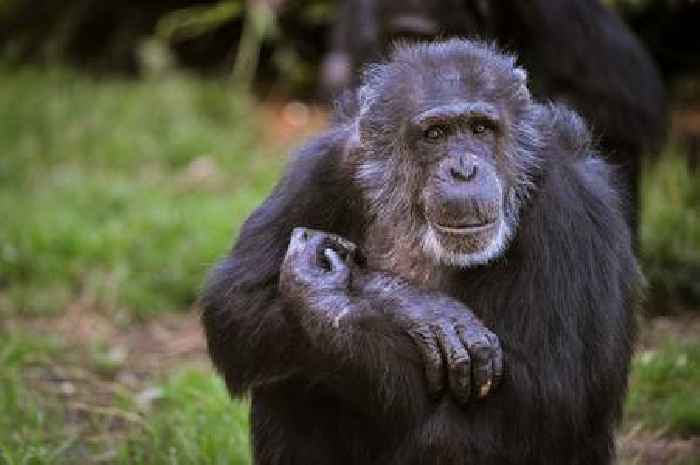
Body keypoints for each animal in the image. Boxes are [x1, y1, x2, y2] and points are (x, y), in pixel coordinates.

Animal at [201, 40, 640, 464]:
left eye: (481, 128)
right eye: (435, 134)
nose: (463, 169)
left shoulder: (565, 199)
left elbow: (549, 391)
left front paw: (327, 300)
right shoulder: (326, 165)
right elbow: (236, 301)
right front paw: (414, 307)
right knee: (290, 372)